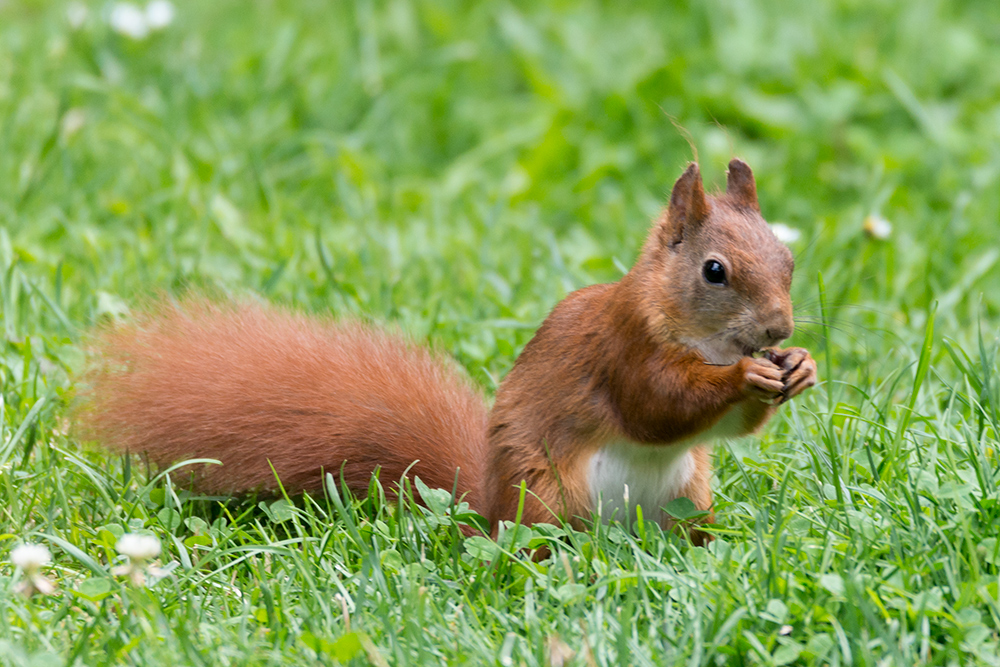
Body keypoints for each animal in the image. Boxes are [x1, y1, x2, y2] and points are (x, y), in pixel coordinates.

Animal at [76, 160, 812, 544]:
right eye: (714, 272)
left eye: (788, 258)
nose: (777, 329)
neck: (692, 333)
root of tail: (485, 507)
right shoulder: (622, 347)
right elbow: (657, 405)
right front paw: (745, 376)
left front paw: (799, 367)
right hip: (548, 497)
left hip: (690, 492)